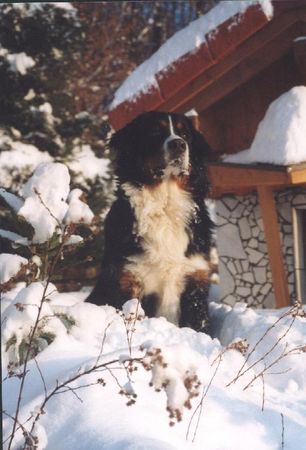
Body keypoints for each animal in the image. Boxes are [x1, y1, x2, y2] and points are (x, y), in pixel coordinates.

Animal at [87, 110, 214, 332]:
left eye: (185, 134)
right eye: (155, 131)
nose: (178, 144)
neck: (164, 206)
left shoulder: (195, 279)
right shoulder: (129, 280)